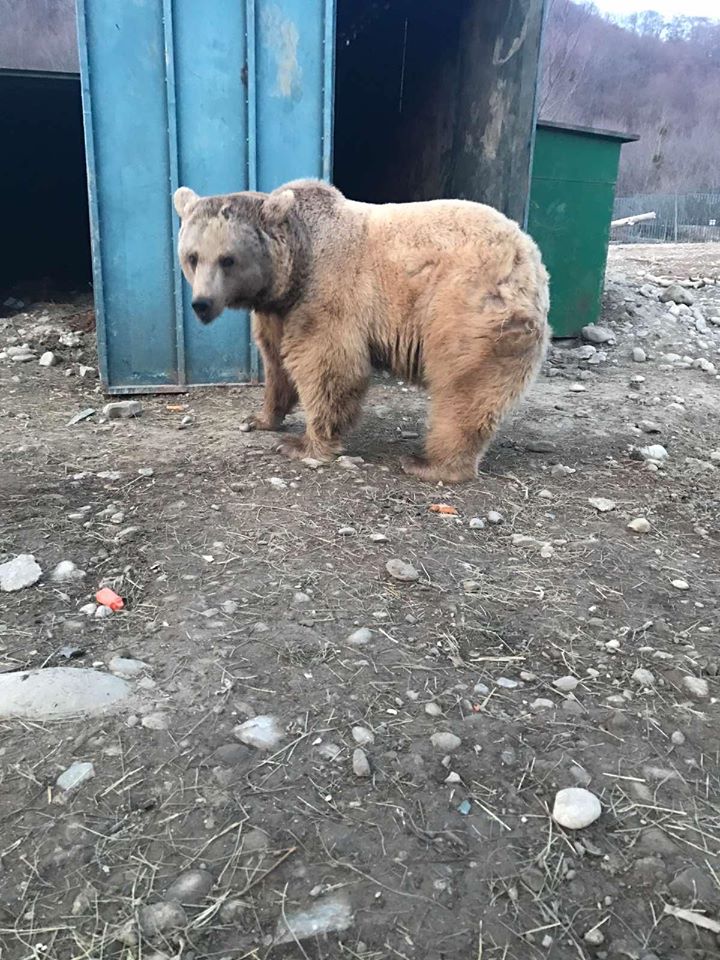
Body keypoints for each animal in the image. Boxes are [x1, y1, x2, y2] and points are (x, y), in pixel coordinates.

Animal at [173, 179, 550, 482]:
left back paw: (430, 463)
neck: (294, 267)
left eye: (227, 259)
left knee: (465, 386)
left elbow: (327, 365)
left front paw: (301, 443)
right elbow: (276, 362)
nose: (201, 303)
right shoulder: (277, 311)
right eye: (192, 257)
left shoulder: (327, 292)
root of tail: (529, 256)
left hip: (466, 307)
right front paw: (260, 417)